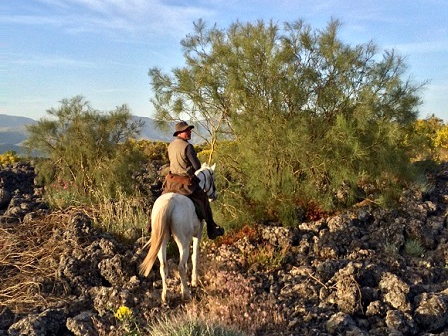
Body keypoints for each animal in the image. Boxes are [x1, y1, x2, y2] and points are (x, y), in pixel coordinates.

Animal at [140, 161, 217, 304]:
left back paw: (165, 296)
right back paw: (186, 294)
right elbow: (195, 256)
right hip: (183, 243)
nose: (214, 196)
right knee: (181, 267)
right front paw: (194, 281)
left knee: (163, 266)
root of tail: (169, 203)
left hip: (162, 241)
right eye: (213, 177)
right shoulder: (198, 234)